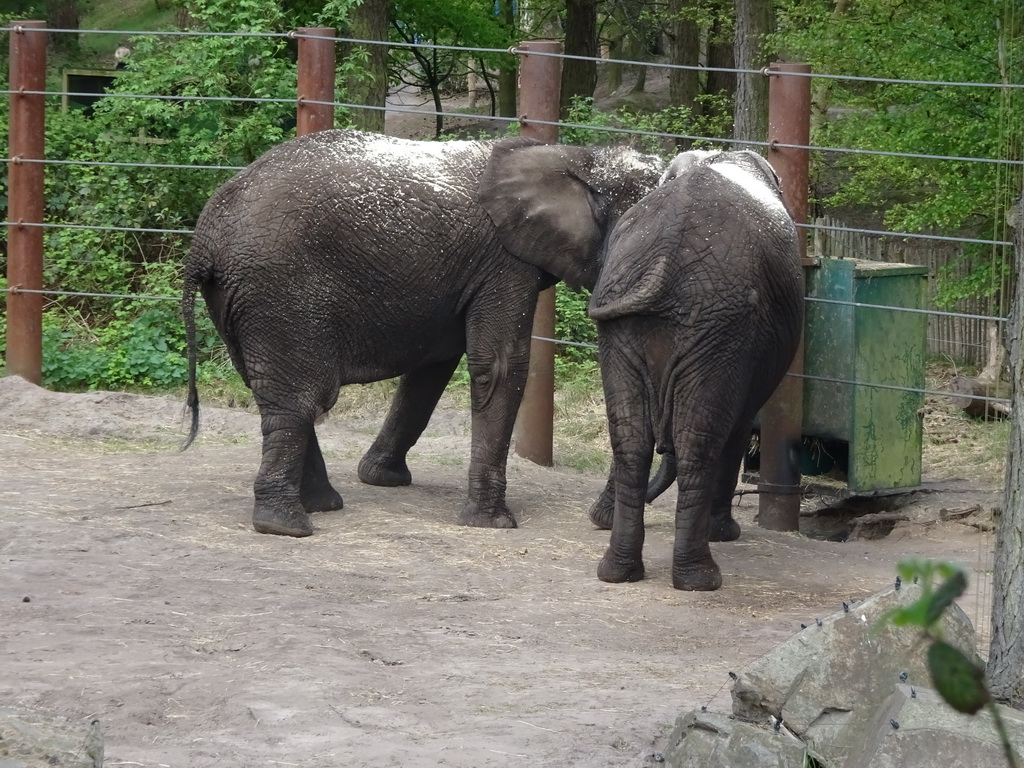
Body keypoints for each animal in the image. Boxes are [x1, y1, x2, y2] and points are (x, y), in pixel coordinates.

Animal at [182, 129, 663, 536]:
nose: (598, 521)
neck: (577, 156)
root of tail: (204, 240)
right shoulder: (505, 263)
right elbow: (499, 367)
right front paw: (492, 525)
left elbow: (432, 369)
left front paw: (382, 479)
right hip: (280, 290)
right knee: (300, 397)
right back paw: (287, 525)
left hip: (238, 298)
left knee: (274, 389)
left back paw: (320, 505)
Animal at [589, 151, 802, 593]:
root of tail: (665, 256)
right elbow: (738, 427)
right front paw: (726, 534)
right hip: (719, 323)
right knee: (699, 443)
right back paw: (701, 579)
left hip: (630, 315)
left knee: (631, 440)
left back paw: (618, 572)